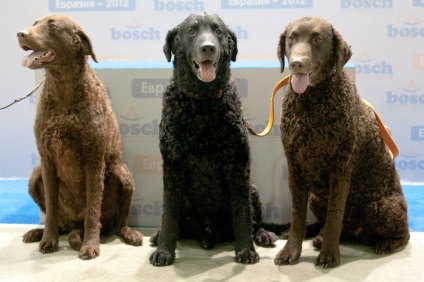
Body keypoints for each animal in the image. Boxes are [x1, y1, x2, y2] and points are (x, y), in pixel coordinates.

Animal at [17, 14, 142, 258]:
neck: (63, 88)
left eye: (52, 26)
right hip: (35, 176)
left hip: (123, 174)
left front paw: (90, 245)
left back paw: (128, 233)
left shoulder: (93, 159)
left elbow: (93, 209)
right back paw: (38, 233)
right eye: (35, 24)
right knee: (60, 222)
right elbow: (51, 209)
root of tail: (74, 225)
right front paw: (48, 240)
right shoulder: (46, 159)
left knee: (114, 223)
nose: (21, 34)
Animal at [148, 13, 278, 268]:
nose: (208, 47)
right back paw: (158, 236)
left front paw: (246, 250)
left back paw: (263, 235)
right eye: (191, 31)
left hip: (252, 189)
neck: (202, 104)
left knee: (254, 220)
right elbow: (169, 216)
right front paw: (164, 250)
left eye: (218, 32)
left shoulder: (238, 165)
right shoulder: (173, 166)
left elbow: (242, 215)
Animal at [274, 16, 410, 268]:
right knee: (336, 227)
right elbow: (297, 216)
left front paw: (329, 255)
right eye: (291, 38)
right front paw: (290, 251)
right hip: (316, 197)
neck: (311, 101)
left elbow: (334, 217)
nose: (297, 63)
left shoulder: (340, 169)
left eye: (317, 39)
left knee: (402, 233)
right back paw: (317, 236)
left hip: (381, 207)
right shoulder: (295, 167)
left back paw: (385, 244)